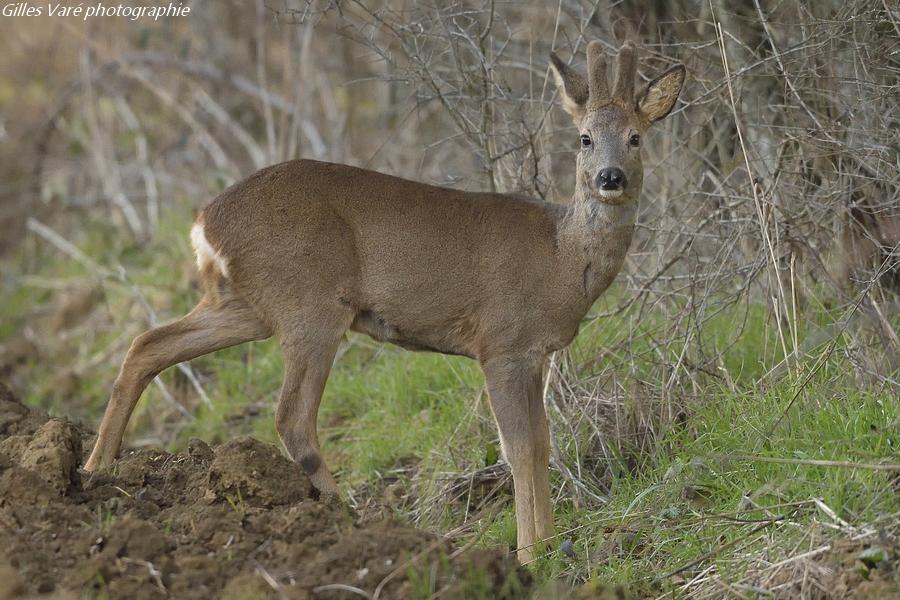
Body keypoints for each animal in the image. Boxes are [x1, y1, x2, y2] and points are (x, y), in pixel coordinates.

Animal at [86, 41, 688, 564]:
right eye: (584, 138)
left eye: (636, 137)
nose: (610, 177)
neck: (561, 258)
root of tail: (203, 222)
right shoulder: (502, 342)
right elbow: (519, 448)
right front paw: (531, 554)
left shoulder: (537, 354)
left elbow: (541, 443)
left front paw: (551, 543)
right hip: (310, 303)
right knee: (292, 416)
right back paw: (348, 521)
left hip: (244, 303)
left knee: (147, 344)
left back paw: (97, 470)